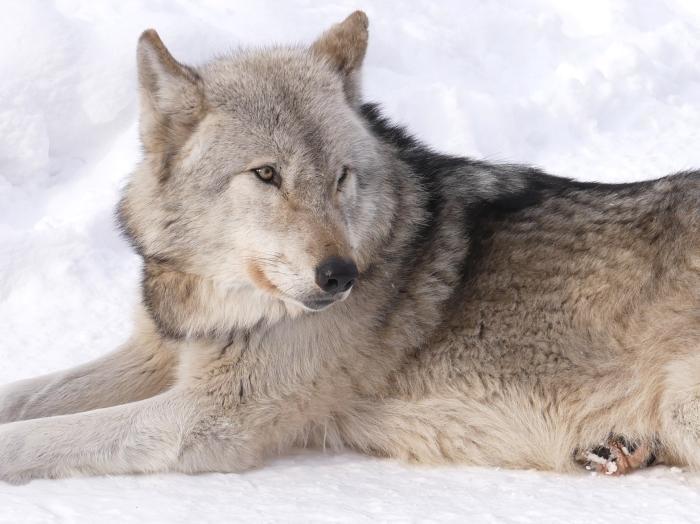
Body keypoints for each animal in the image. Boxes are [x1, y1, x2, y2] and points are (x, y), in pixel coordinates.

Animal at [0, 10, 696, 484]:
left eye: (341, 177)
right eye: (267, 174)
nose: (341, 275)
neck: (221, 304)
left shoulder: (207, 419)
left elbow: (42, 435)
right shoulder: (153, 356)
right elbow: (27, 397)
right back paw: (620, 450)